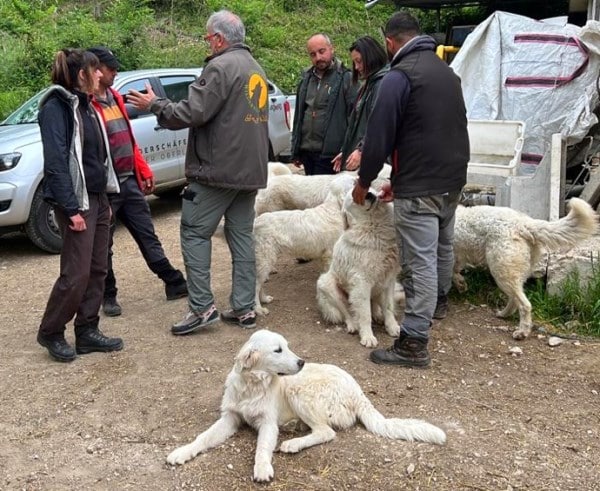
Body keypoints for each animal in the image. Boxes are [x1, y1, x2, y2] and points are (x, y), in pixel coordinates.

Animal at [164, 330, 446, 484]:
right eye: (278, 350)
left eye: (287, 346)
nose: (301, 362)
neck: (253, 385)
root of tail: (358, 391)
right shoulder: (230, 417)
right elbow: (202, 438)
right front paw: (182, 452)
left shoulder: (268, 423)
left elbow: (262, 448)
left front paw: (263, 469)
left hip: (300, 390)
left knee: (326, 432)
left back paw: (293, 442)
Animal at [254, 175, 356, 318]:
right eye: (352, 182)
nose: (359, 178)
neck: (333, 208)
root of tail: (256, 222)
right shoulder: (329, 255)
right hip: (265, 258)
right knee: (256, 284)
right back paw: (258, 309)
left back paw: (264, 299)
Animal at [316, 190, 400, 348]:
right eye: (355, 197)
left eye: (370, 189)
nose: (369, 194)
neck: (374, 227)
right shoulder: (361, 283)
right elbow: (365, 315)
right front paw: (368, 337)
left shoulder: (388, 279)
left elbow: (389, 307)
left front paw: (392, 327)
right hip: (326, 284)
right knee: (347, 311)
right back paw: (353, 325)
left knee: (374, 305)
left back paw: (378, 315)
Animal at [452, 198, 596, 340]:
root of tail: (523, 224)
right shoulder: (456, 259)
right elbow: (455, 273)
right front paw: (461, 284)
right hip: (510, 273)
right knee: (515, 299)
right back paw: (503, 314)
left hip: (501, 272)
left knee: (524, 304)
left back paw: (522, 331)